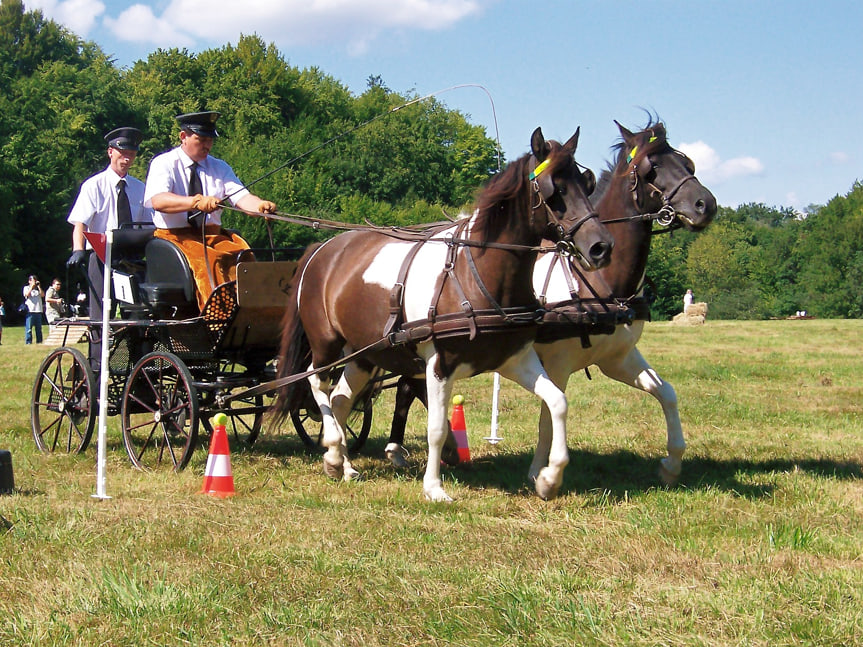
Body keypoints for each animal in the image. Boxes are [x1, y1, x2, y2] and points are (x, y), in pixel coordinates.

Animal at [276, 126, 616, 502]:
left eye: (584, 182)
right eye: (555, 189)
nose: (601, 247)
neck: (476, 273)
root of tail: (320, 249)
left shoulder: (514, 359)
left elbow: (557, 402)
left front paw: (548, 479)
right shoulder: (439, 365)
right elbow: (437, 428)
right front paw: (434, 488)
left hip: (364, 353)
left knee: (340, 399)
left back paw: (343, 464)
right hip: (326, 343)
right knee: (317, 383)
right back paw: (335, 451)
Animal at [384, 120, 716, 486]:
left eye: (687, 164)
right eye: (651, 168)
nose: (705, 205)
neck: (599, 283)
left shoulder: (617, 358)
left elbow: (667, 392)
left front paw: (671, 464)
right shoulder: (558, 361)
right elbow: (548, 417)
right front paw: (541, 473)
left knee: (407, 386)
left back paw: (408, 451)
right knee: (407, 387)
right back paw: (399, 450)